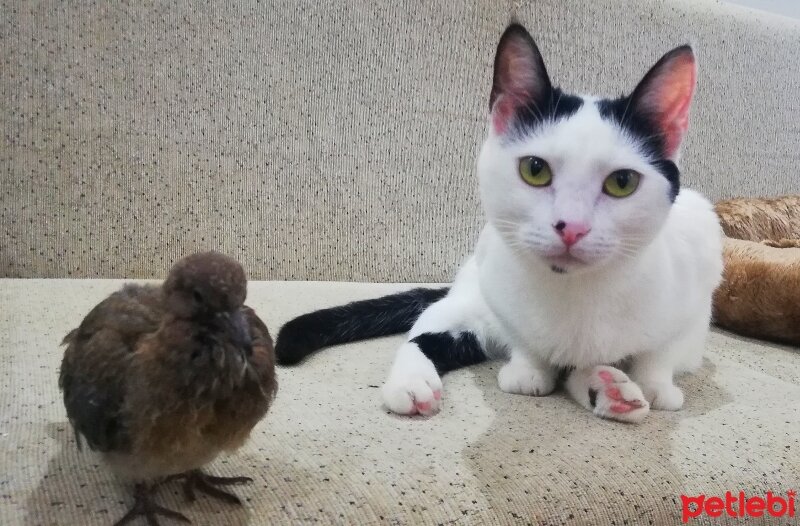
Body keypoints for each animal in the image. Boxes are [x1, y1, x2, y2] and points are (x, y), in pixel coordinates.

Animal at [276, 23, 724, 424]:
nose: (572, 227)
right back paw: (412, 384)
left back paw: (611, 388)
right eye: (535, 170)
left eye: (622, 182)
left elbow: (661, 349)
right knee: (424, 332)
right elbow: (526, 342)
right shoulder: (499, 282)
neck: (574, 295)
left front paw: (652, 383)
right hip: (472, 293)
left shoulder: (699, 270)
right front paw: (530, 369)